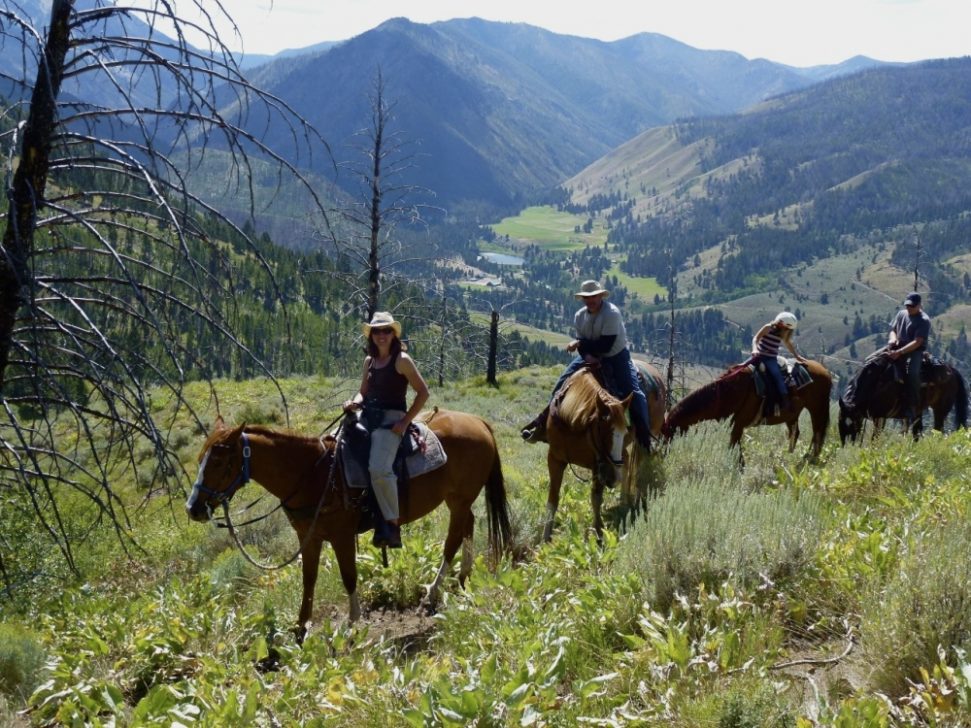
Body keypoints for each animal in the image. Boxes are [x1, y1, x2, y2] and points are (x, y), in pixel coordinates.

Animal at [185, 406, 512, 640]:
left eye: (218, 462)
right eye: (200, 458)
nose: (193, 508)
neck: (314, 475)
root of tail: (479, 422)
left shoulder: (341, 535)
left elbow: (349, 577)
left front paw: (353, 622)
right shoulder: (309, 536)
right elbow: (309, 578)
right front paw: (301, 626)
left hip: (459, 498)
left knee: (453, 538)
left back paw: (433, 592)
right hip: (459, 500)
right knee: (468, 525)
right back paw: (463, 578)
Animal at [540, 362, 668, 544]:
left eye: (625, 429)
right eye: (602, 431)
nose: (612, 479)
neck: (572, 422)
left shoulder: (598, 466)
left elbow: (596, 499)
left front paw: (598, 533)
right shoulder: (555, 459)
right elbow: (553, 498)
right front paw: (545, 537)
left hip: (644, 442)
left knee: (637, 470)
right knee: (626, 463)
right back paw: (623, 500)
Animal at [660, 362, 836, 464]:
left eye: (667, 434)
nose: (662, 455)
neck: (732, 390)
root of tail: (826, 372)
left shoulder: (739, 424)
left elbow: (734, 448)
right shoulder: (735, 425)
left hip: (817, 409)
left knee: (818, 434)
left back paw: (810, 459)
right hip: (792, 416)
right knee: (795, 433)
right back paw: (790, 456)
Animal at [840, 348, 968, 440]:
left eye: (851, 421)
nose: (846, 443)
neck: (874, 383)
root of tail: (951, 370)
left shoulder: (880, 416)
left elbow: (875, 437)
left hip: (940, 409)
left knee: (938, 430)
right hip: (918, 411)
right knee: (917, 431)